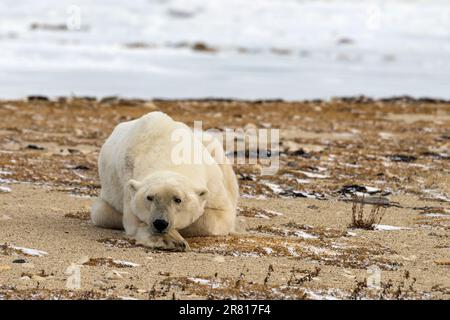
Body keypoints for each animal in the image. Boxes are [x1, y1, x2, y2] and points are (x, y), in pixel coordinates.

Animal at [91, 111, 239, 251]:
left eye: (178, 199)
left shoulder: (212, 182)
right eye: (149, 197)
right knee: (101, 212)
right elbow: (134, 220)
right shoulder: (128, 176)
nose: (160, 223)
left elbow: (219, 215)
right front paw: (171, 241)